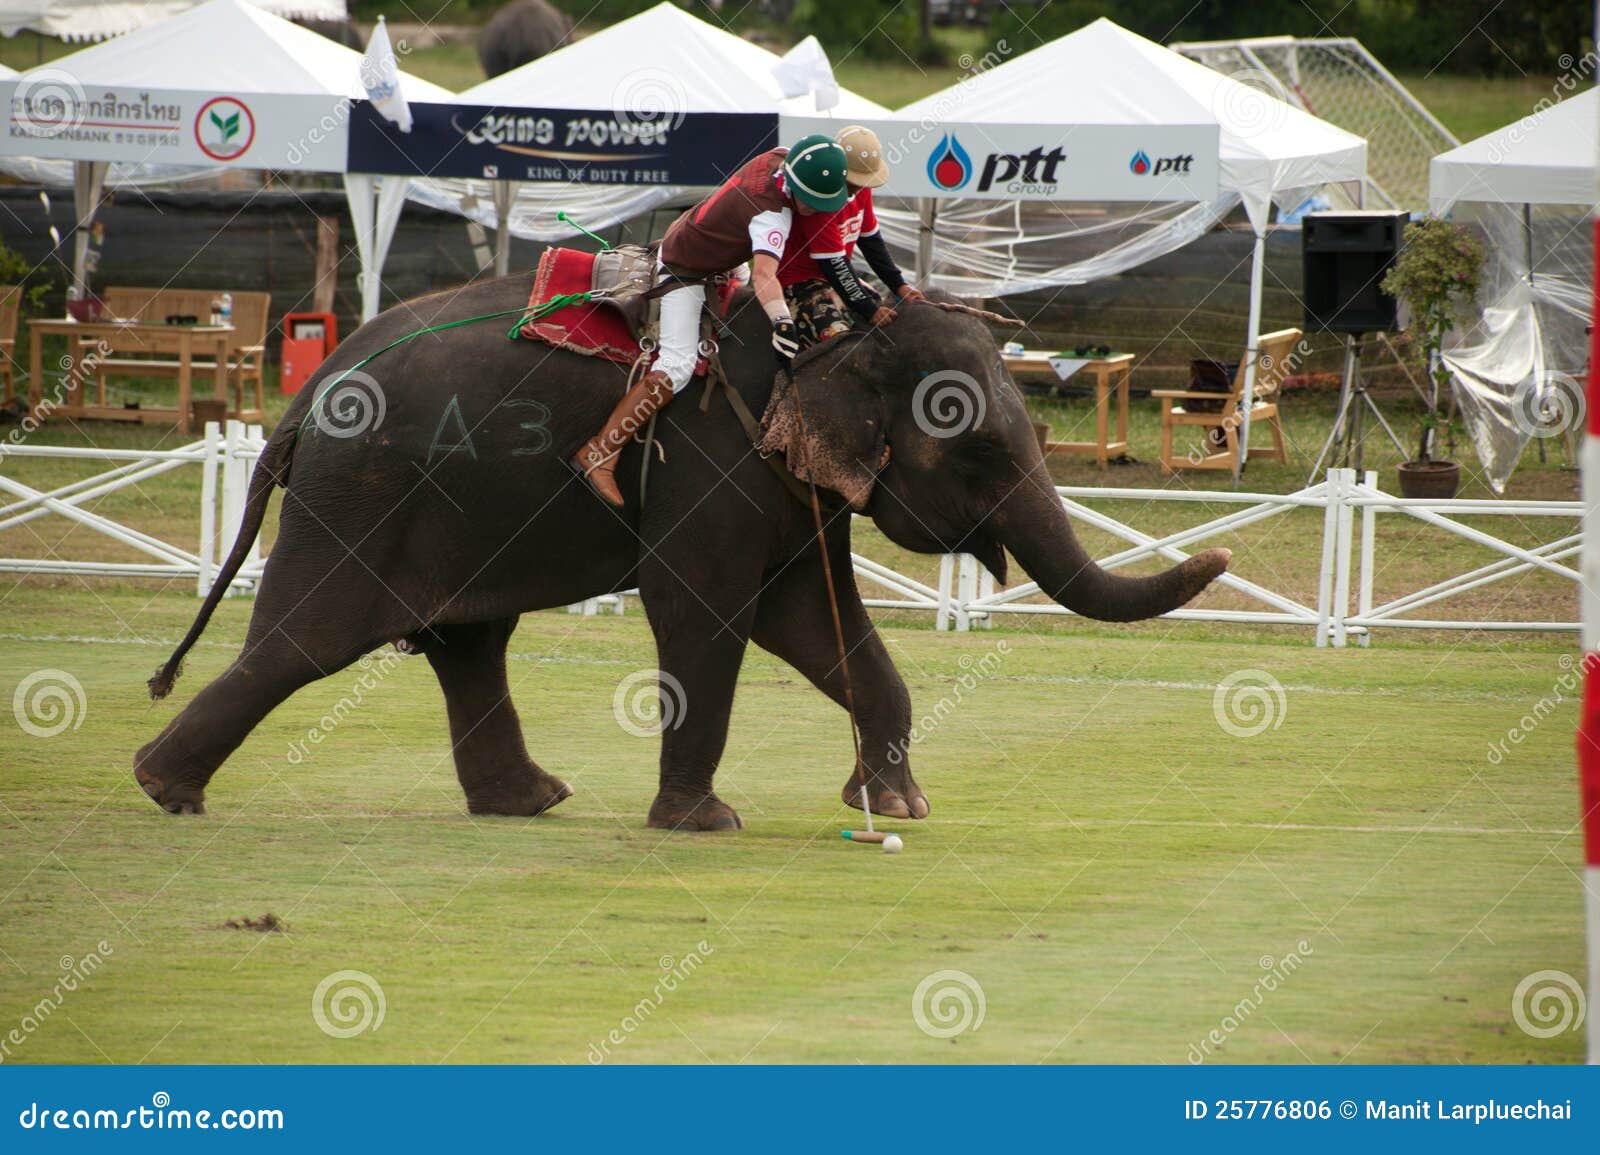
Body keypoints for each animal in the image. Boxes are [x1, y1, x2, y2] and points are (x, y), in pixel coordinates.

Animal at [133, 277, 1230, 830]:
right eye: (984, 450)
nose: (1218, 559)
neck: (826, 339)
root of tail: (303, 398)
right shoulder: (710, 457)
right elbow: (702, 608)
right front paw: (706, 823)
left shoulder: (786, 481)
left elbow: (814, 619)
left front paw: (896, 806)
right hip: (363, 493)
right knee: (307, 643)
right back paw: (164, 790)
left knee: (468, 642)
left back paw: (530, 803)